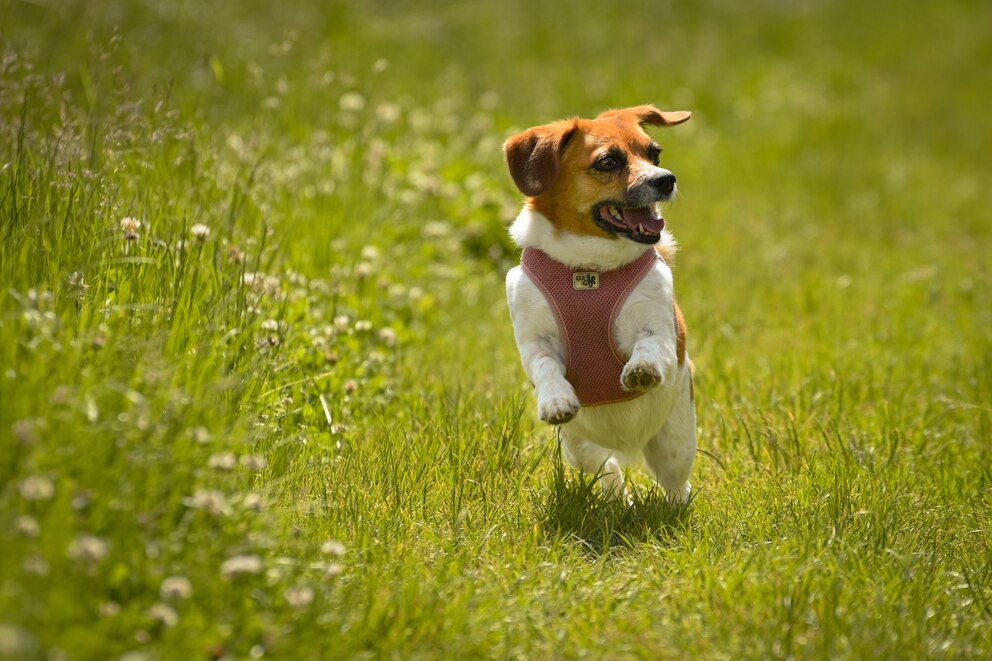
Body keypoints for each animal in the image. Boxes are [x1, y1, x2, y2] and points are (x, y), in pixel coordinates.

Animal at [504, 105, 696, 502]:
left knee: (676, 483)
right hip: (580, 448)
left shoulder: (658, 328)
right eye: (608, 162)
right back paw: (618, 497)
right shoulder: (533, 340)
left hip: (675, 440)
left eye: (654, 155)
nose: (666, 180)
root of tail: (628, 444)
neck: (590, 270)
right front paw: (555, 400)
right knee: (608, 472)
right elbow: (546, 366)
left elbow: (650, 345)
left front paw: (641, 369)